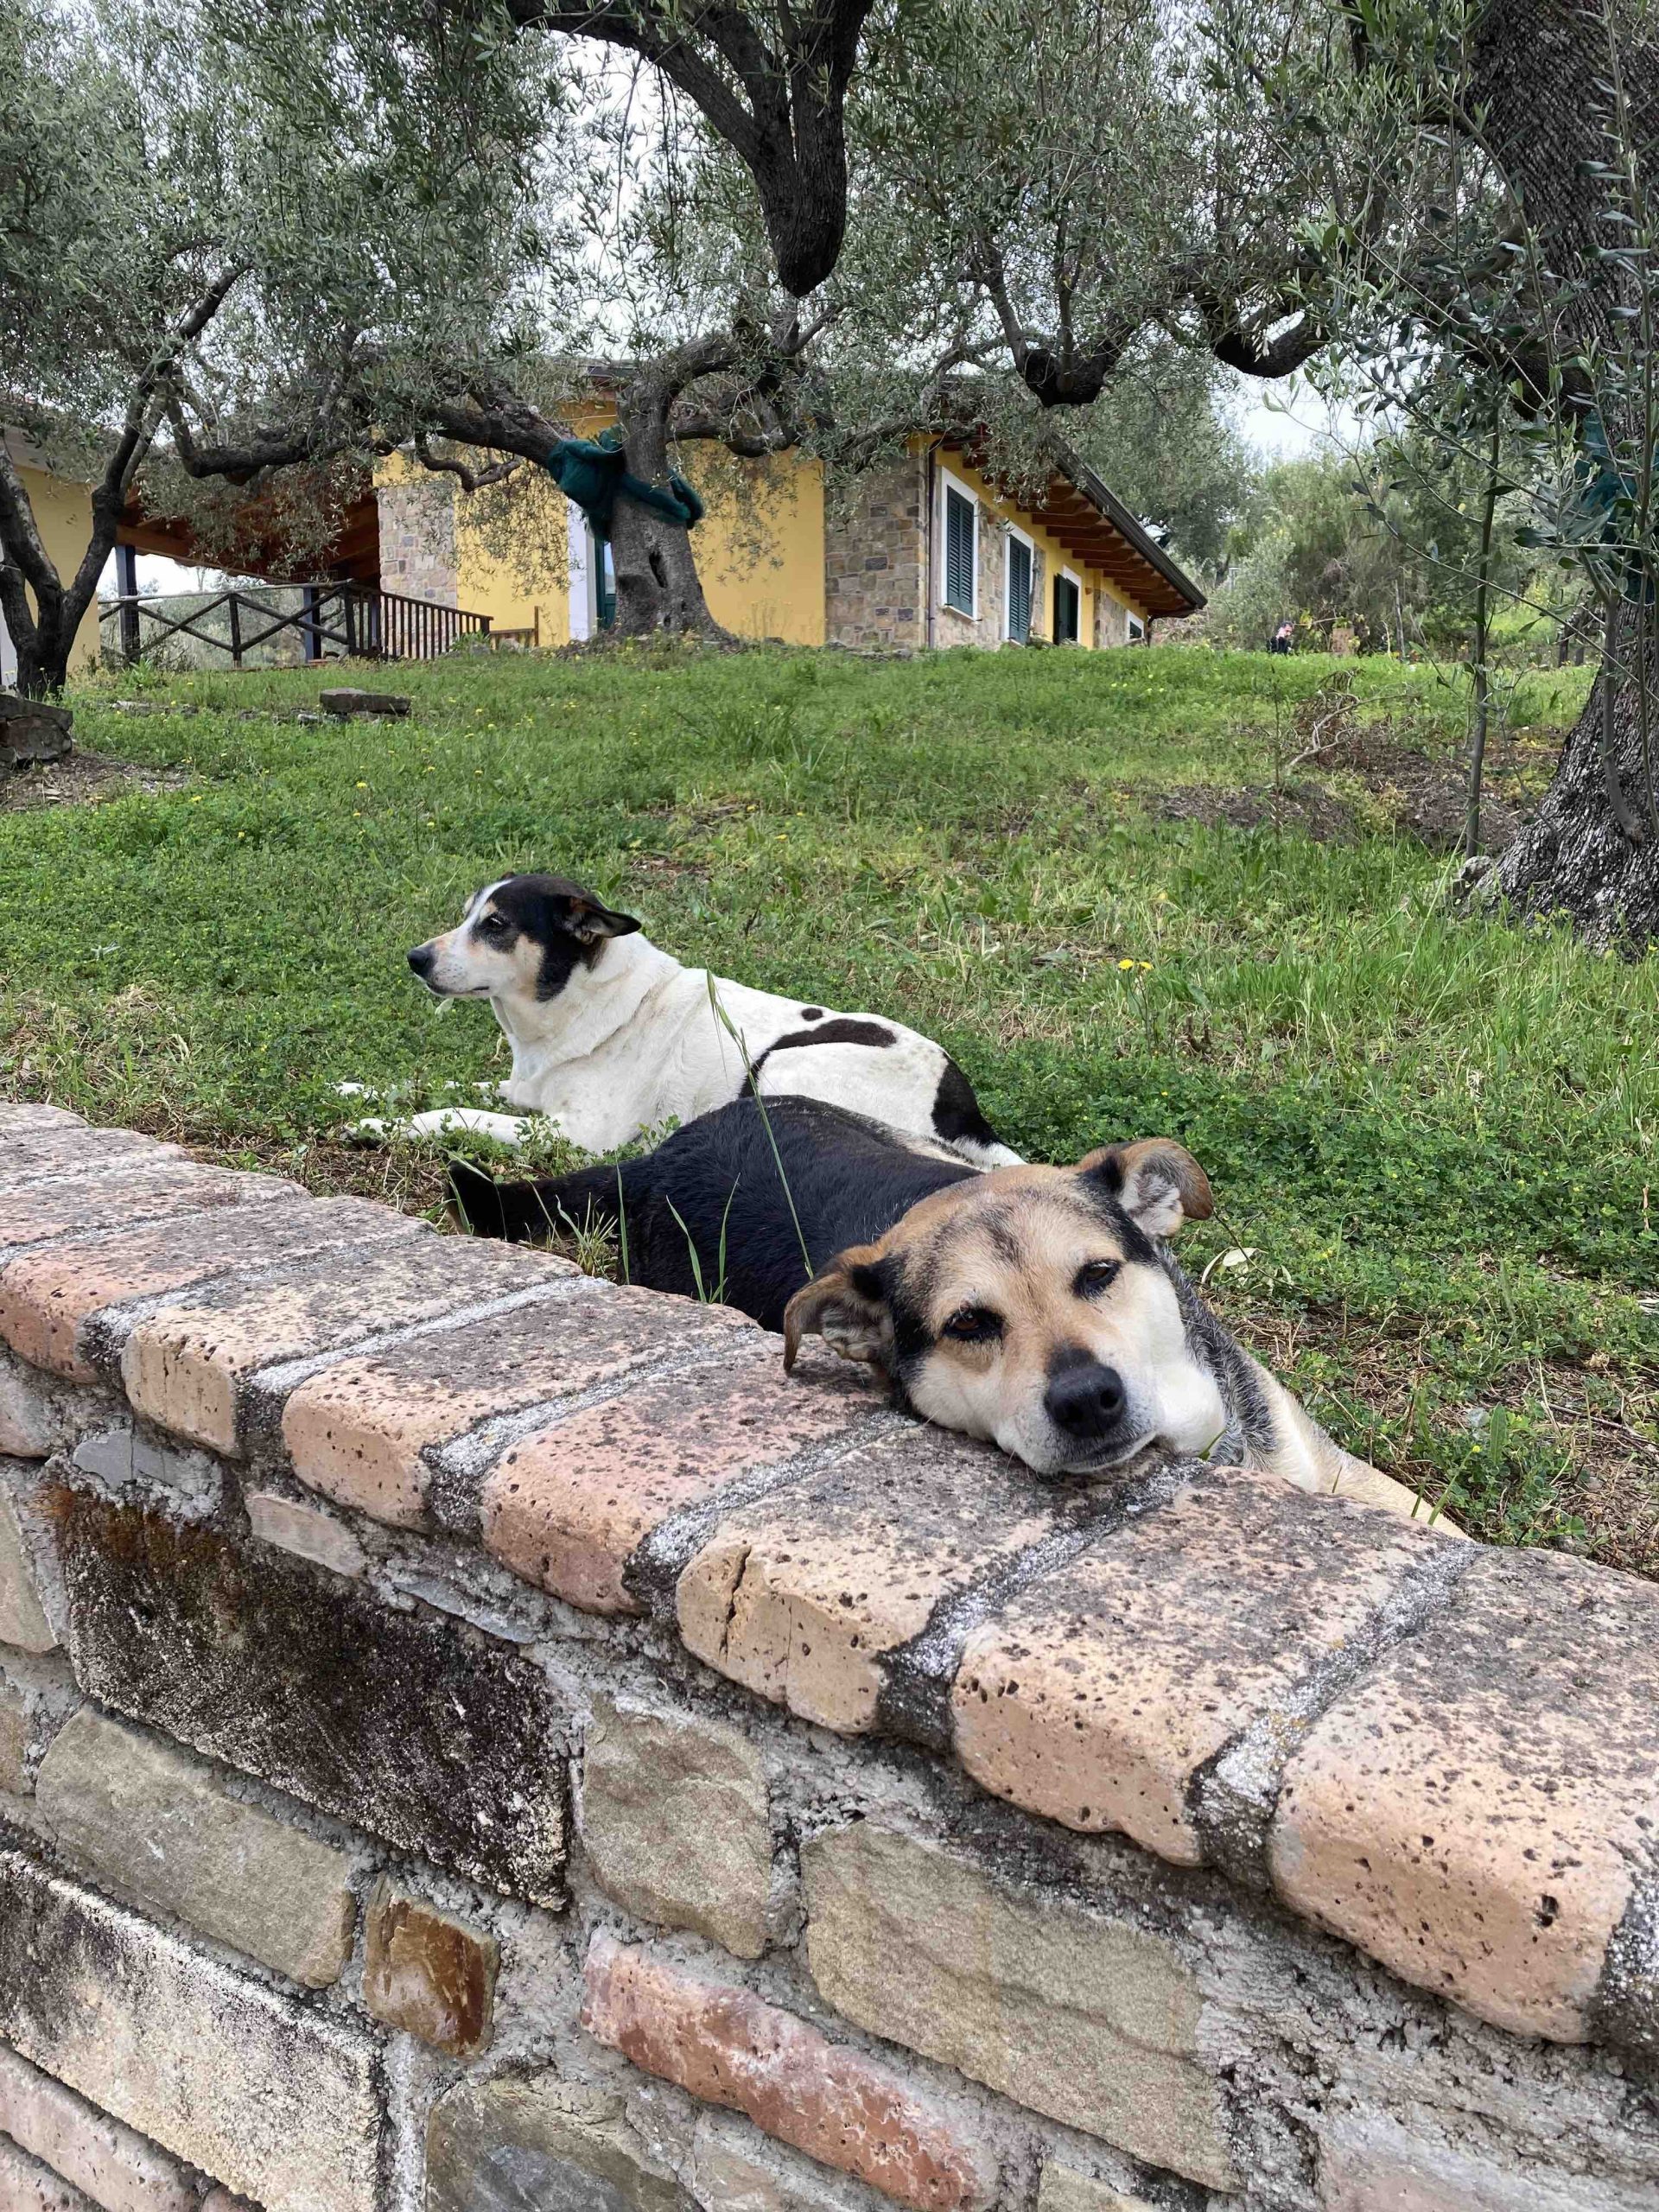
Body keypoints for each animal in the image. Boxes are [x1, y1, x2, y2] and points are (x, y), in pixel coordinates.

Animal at [391, 871, 1021, 1167]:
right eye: (467, 916)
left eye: (496, 925)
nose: (415, 958)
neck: (582, 1000)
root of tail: (964, 1110)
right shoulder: (522, 1092)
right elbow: (437, 1087)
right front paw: (369, 1096)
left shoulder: (580, 1133)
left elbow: (453, 1112)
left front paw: (396, 1126)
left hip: (781, 1070)